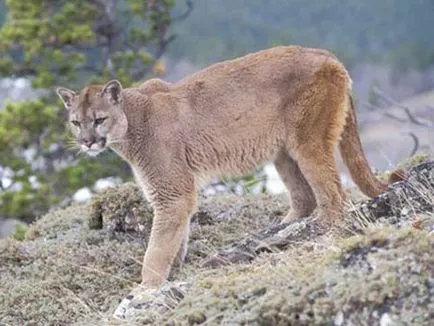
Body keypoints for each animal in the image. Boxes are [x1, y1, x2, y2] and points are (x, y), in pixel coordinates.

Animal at [55, 45, 390, 290]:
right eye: (76, 122)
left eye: (99, 119)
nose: (87, 142)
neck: (133, 122)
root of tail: (328, 54)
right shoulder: (176, 193)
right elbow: (176, 239)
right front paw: (173, 275)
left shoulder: (171, 193)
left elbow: (157, 248)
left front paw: (146, 287)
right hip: (282, 151)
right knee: (304, 197)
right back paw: (274, 233)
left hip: (308, 141)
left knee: (334, 195)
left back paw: (309, 231)